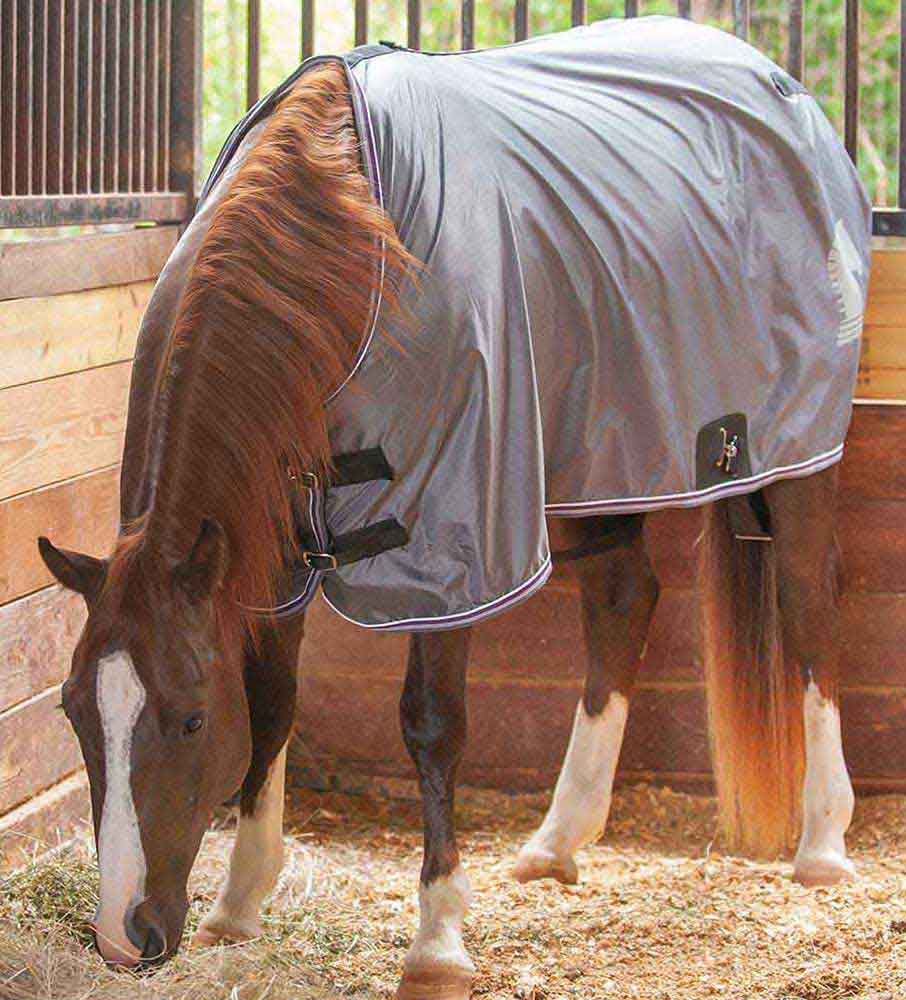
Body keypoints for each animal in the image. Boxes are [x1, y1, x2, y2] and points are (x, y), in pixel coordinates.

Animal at [38, 18, 869, 1000]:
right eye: (74, 712)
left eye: (191, 717)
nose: (123, 937)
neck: (348, 249)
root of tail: (783, 87)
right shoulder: (268, 548)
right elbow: (275, 704)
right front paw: (239, 903)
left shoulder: (456, 533)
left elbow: (432, 728)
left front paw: (436, 942)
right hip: (601, 447)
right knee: (624, 596)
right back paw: (557, 841)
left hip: (788, 447)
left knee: (807, 602)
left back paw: (823, 844)